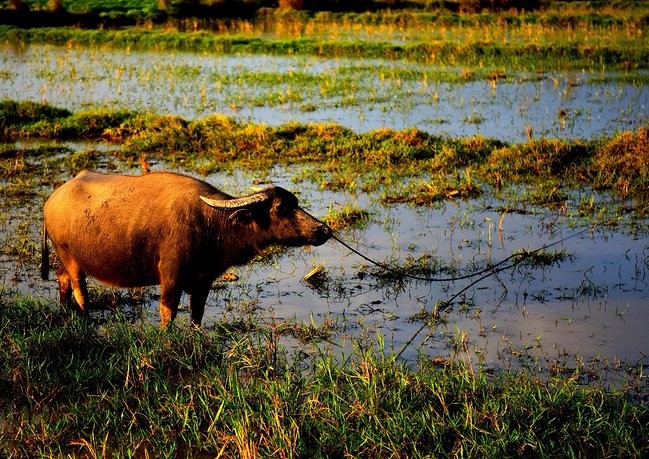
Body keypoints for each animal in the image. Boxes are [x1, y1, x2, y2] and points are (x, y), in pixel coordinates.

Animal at [43, 172, 332, 328]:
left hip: (68, 258)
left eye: (296, 202)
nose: (323, 230)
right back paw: (85, 318)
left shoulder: (204, 280)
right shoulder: (171, 276)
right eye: (281, 208)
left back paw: (65, 312)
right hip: (71, 258)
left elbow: (197, 312)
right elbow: (168, 311)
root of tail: (51, 200)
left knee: (62, 278)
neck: (211, 222)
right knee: (81, 292)